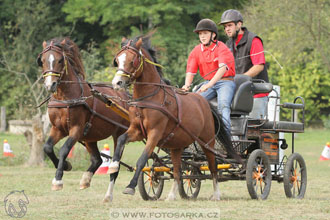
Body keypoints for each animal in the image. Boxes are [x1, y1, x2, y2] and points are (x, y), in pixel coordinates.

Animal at [37, 37, 127, 203]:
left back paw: (108, 195)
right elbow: (47, 147)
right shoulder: (57, 129)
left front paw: (58, 180)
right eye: (43, 60)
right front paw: (66, 166)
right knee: (97, 160)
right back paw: (86, 179)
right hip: (90, 136)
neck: (65, 98)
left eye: (60, 60)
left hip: (119, 134)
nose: (50, 84)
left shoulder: (76, 129)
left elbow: (64, 149)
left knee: (115, 166)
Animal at [109, 35, 241, 200]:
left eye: (132, 60)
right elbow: (121, 140)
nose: (117, 83)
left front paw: (130, 187)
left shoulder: (155, 133)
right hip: (177, 144)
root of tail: (204, 102)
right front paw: (113, 166)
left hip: (207, 141)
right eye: (117, 60)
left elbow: (142, 160)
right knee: (178, 170)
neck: (150, 98)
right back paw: (171, 195)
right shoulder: (137, 131)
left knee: (213, 166)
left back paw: (216, 194)